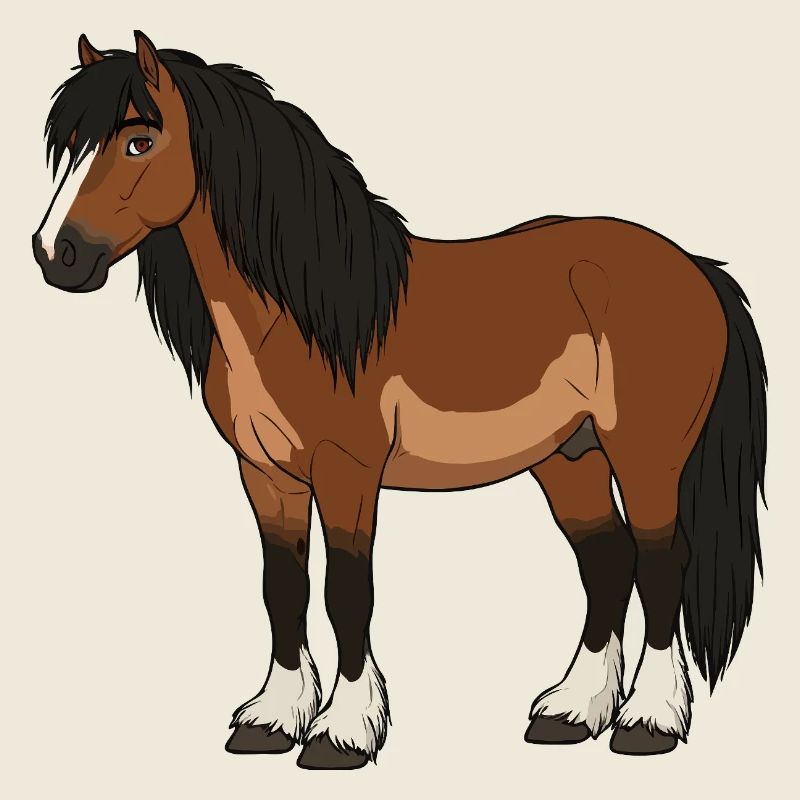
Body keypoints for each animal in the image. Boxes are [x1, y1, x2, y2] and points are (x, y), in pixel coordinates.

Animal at [32, 31, 767, 770]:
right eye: (69, 147)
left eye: (138, 140)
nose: (55, 254)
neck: (303, 315)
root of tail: (696, 269)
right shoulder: (265, 475)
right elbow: (283, 589)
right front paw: (273, 720)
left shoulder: (348, 473)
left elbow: (346, 593)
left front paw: (343, 732)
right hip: (570, 457)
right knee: (608, 560)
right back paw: (571, 710)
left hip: (645, 459)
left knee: (661, 564)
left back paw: (649, 721)